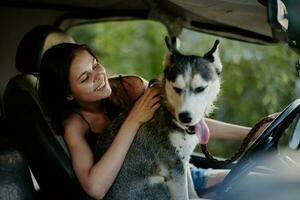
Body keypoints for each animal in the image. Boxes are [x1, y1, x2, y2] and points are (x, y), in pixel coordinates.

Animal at [95, 36, 221, 199]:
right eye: (177, 88)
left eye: (200, 89)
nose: (185, 117)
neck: (169, 112)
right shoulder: (174, 168)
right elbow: (183, 194)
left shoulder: (183, 162)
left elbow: (191, 189)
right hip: (159, 184)